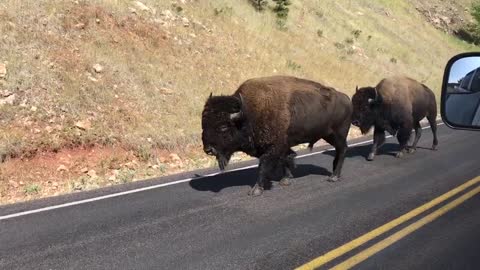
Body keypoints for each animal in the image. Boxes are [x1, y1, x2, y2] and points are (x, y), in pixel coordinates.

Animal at [201, 76, 350, 196]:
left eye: (223, 127)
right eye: (203, 125)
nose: (208, 150)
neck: (247, 114)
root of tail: (347, 98)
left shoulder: (273, 147)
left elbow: (263, 165)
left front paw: (256, 190)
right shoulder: (280, 146)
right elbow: (286, 158)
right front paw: (286, 179)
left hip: (338, 135)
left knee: (342, 150)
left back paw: (334, 177)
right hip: (329, 136)